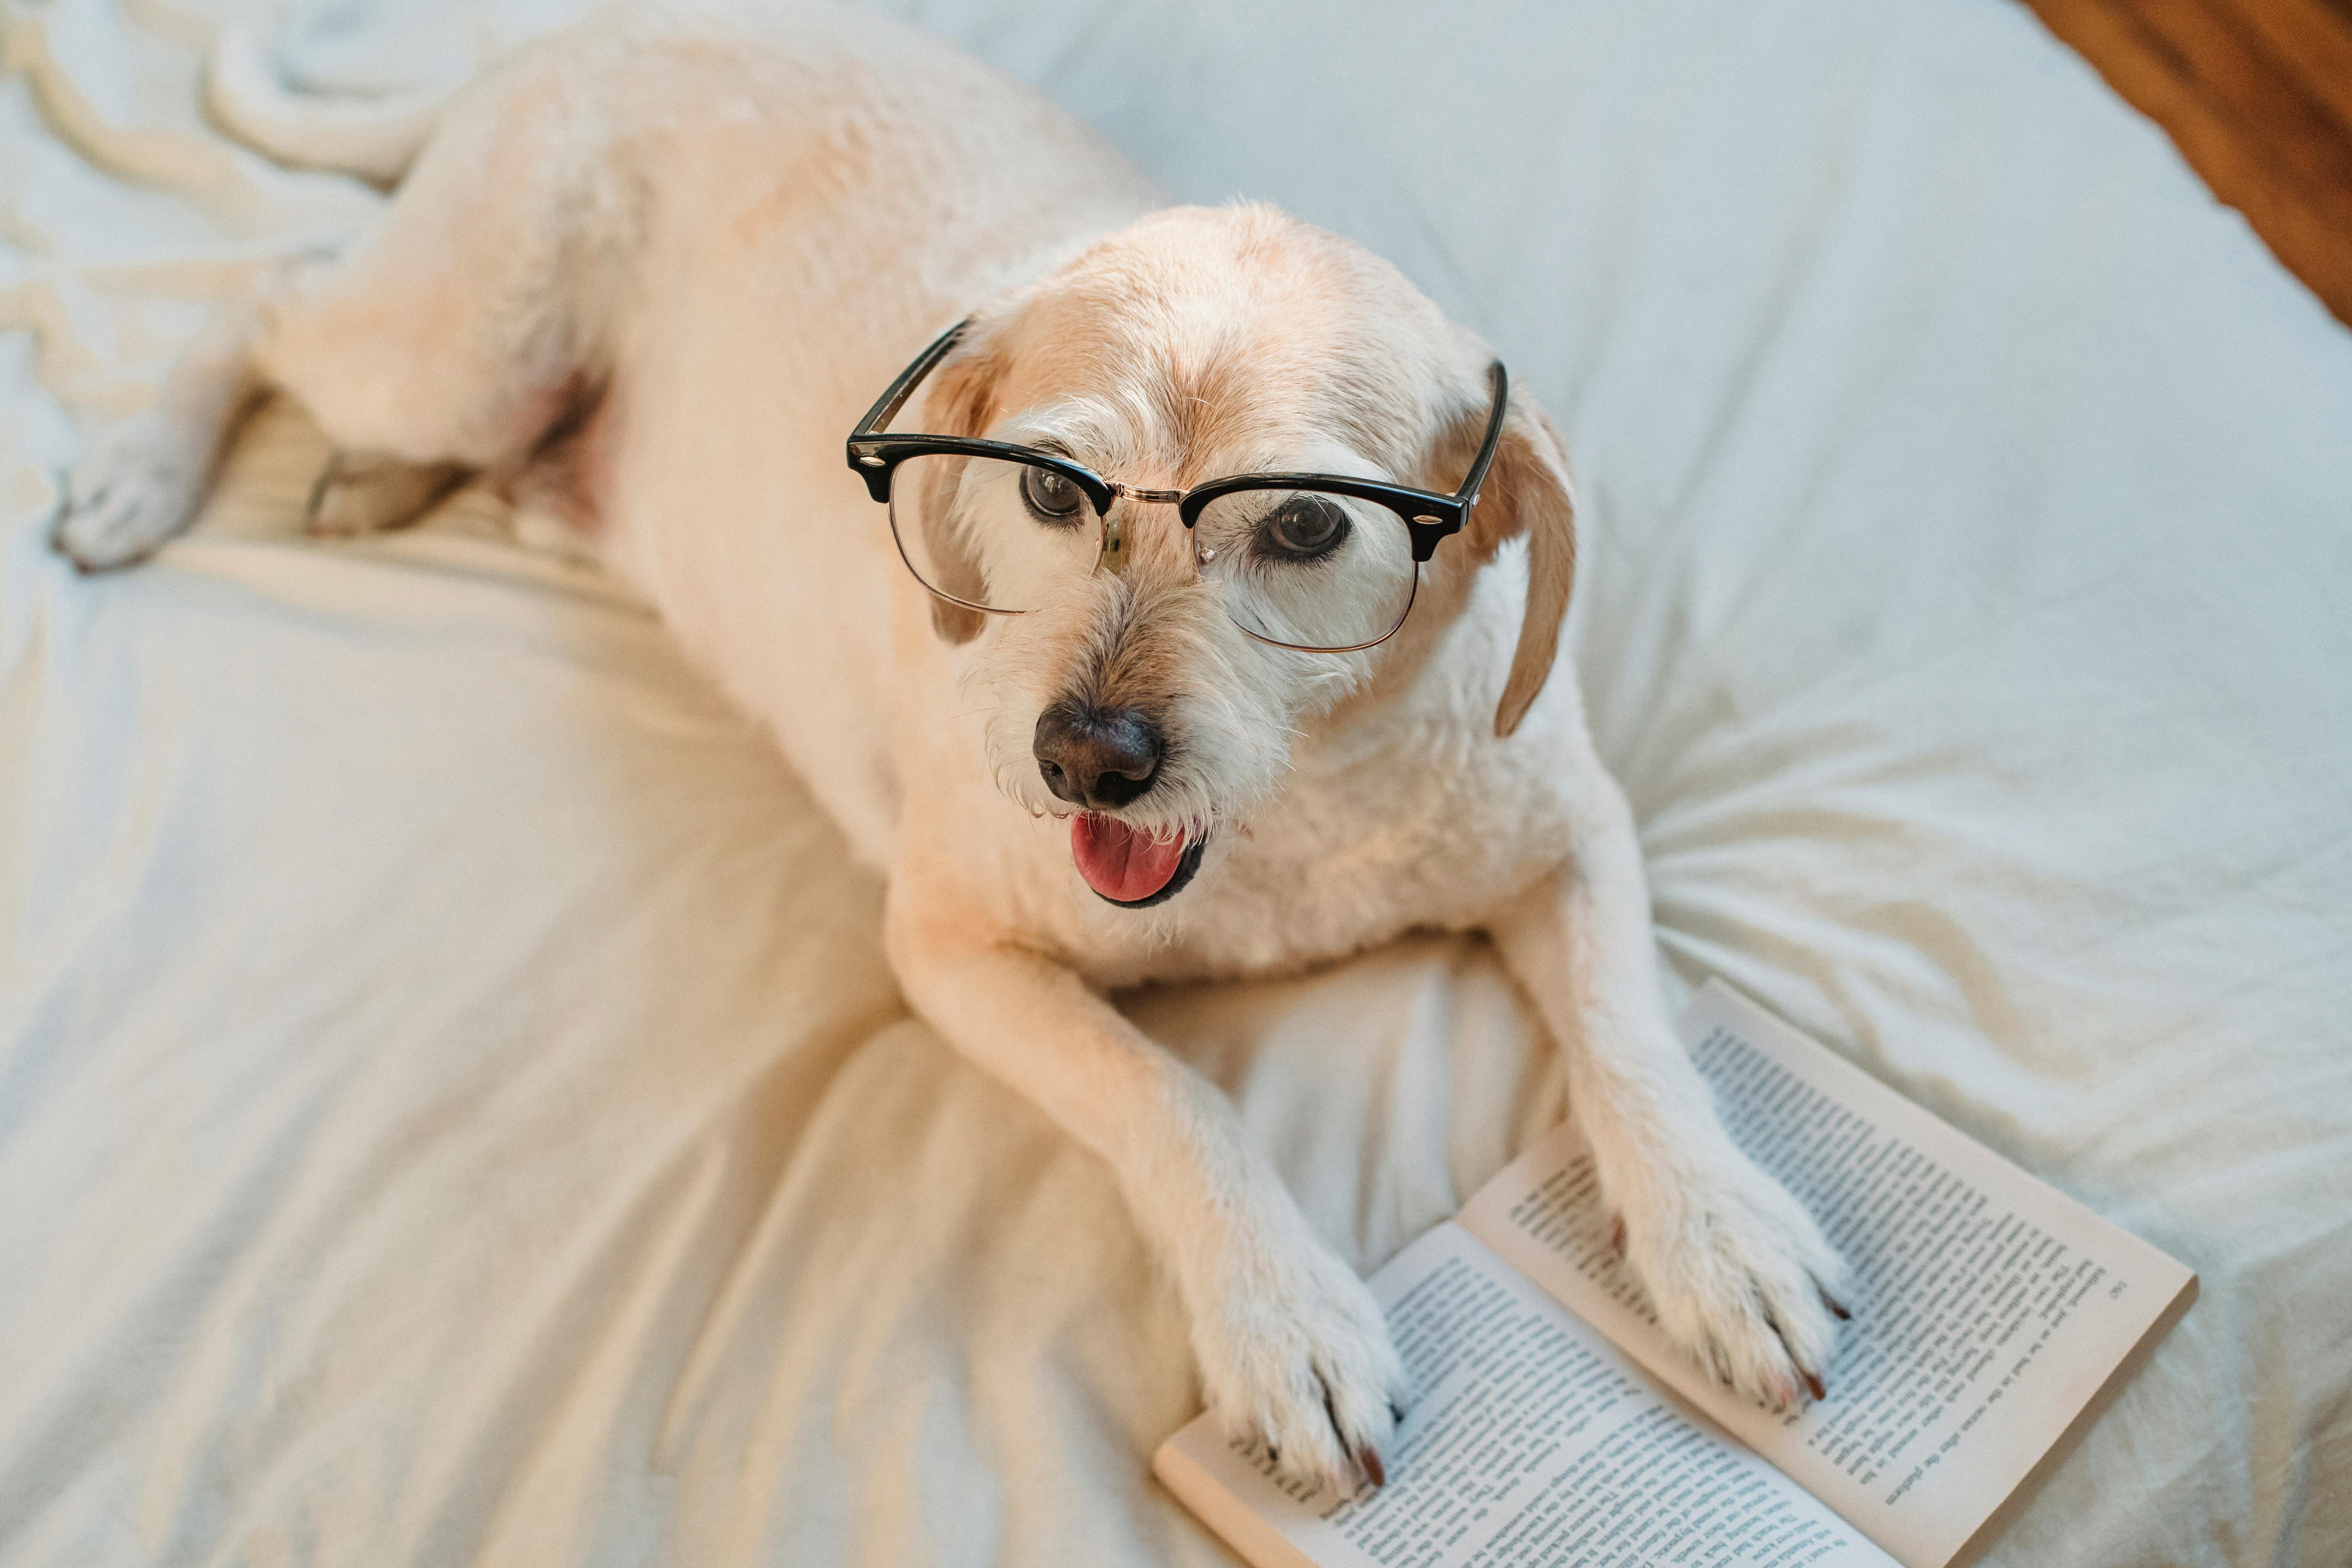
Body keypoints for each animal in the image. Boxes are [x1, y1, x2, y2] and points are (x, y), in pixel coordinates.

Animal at [46, 0, 1844, 1495]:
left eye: (1308, 525)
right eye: (1046, 486)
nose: (1085, 758)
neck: (1293, 819)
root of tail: (587, 26)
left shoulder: (1573, 829)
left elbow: (1630, 1028)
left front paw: (1719, 1230)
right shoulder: (952, 952)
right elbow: (1171, 1096)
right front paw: (1282, 1314)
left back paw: (369, 482)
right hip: (463, 344)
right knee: (269, 294)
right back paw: (151, 469)